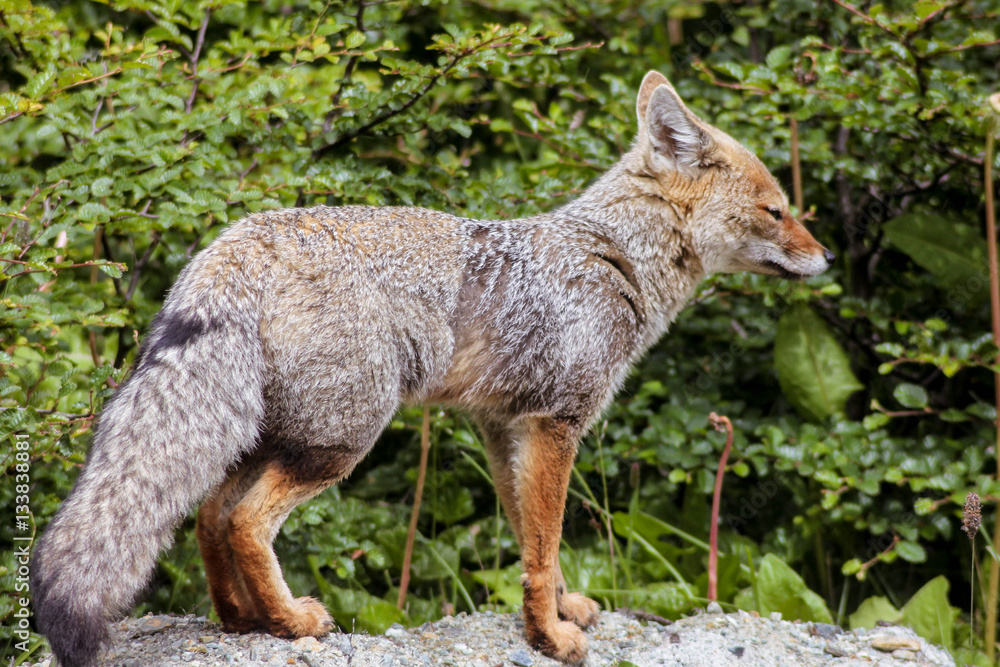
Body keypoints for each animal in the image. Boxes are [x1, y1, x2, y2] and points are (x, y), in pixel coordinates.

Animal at [30, 70, 833, 666]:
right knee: (245, 520)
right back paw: (291, 623)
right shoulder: (556, 425)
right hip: (342, 440)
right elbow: (546, 543)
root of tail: (234, 242)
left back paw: (244, 620)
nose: (827, 258)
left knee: (207, 514)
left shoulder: (505, 430)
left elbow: (534, 544)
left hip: (273, 434)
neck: (613, 256)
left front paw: (560, 611)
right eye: (777, 210)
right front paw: (551, 637)